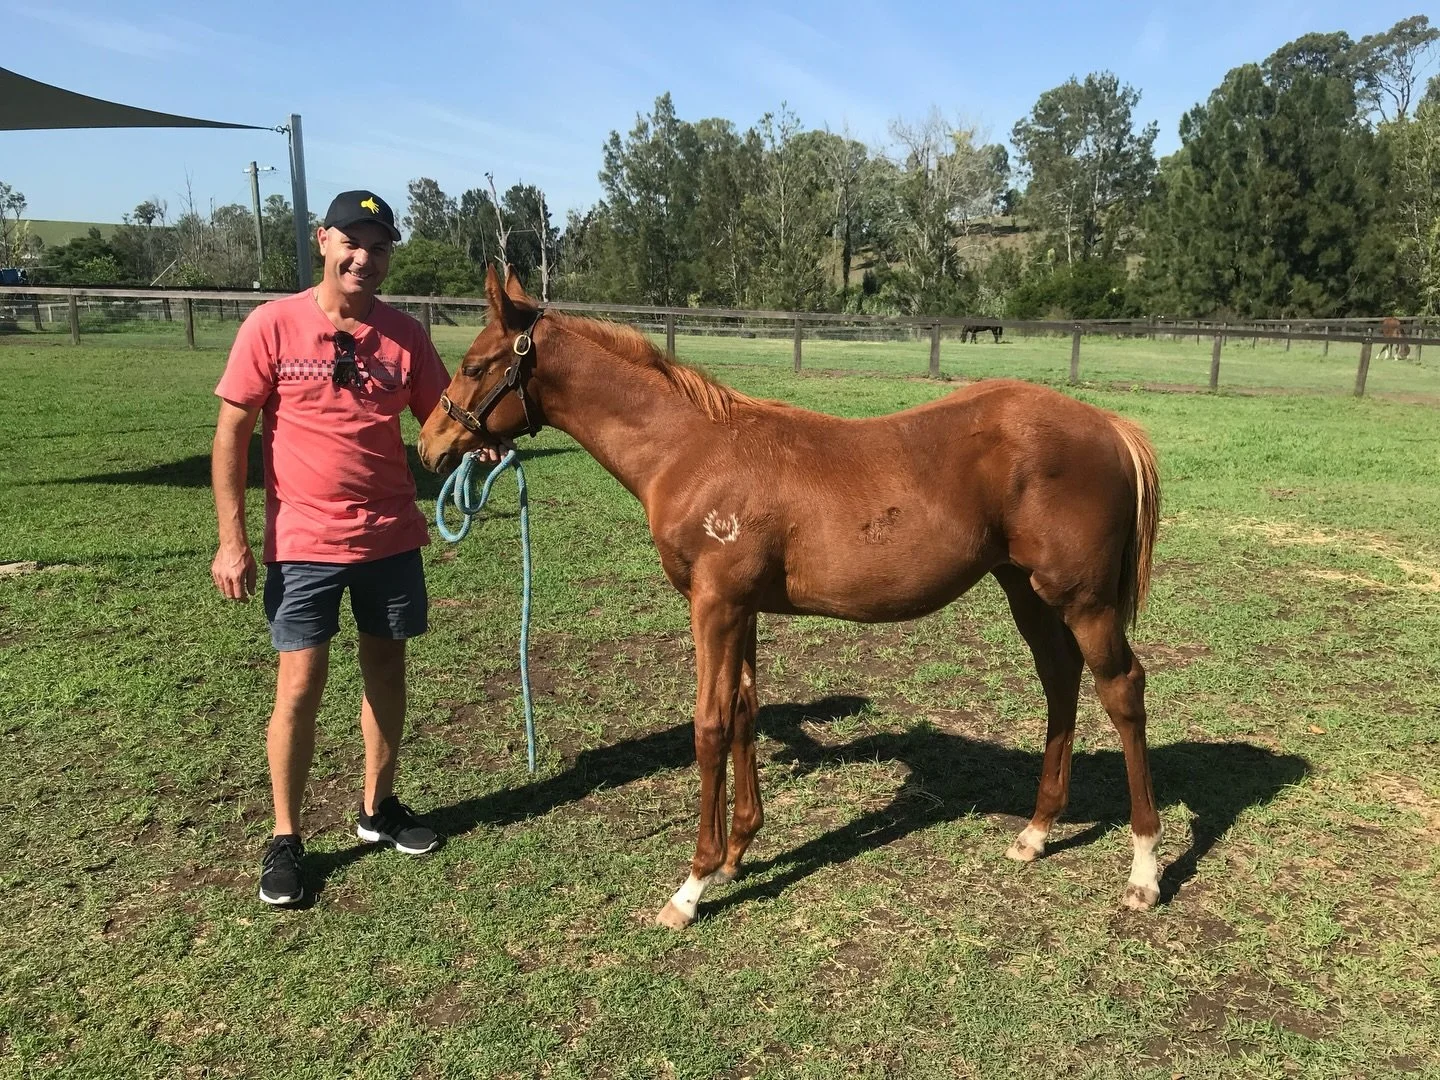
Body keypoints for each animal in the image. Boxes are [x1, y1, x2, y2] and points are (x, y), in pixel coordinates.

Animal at [419, 267, 1164, 929]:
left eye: (477, 364)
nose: (430, 444)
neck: (691, 452)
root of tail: (1111, 425)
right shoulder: (742, 607)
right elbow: (744, 712)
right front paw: (737, 853)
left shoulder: (714, 604)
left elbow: (709, 726)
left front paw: (691, 886)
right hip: (1028, 592)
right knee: (1061, 681)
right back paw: (1035, 832)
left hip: (1085, 601)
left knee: (1122, 689)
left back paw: (1144, 871)